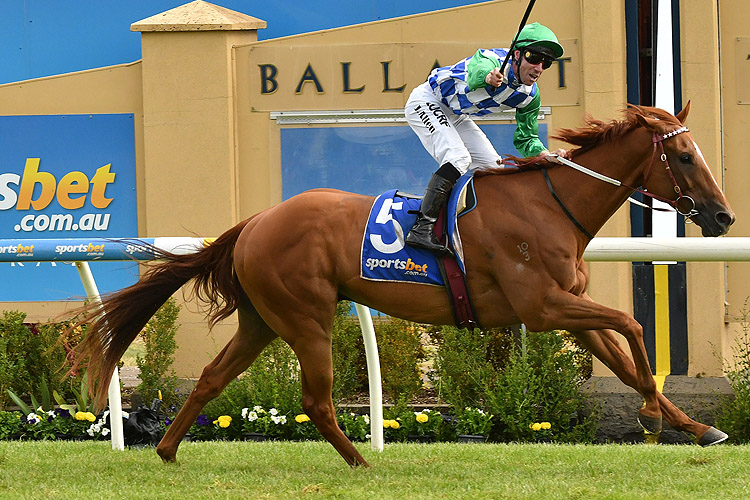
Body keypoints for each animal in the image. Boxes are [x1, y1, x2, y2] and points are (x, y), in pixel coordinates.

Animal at [69, 101, 736, 464]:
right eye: (683, 157)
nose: (724, 217)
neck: (550, 205)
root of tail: (256, 220)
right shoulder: (543, 307)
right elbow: (631, 326)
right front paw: (650, 417)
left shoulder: (565, 305)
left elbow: (623, 356)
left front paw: (696, 426)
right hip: (306, 318)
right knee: (315, 401)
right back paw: (363, 464)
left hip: (264, 320)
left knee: (211, 378)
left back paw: (166, 449)